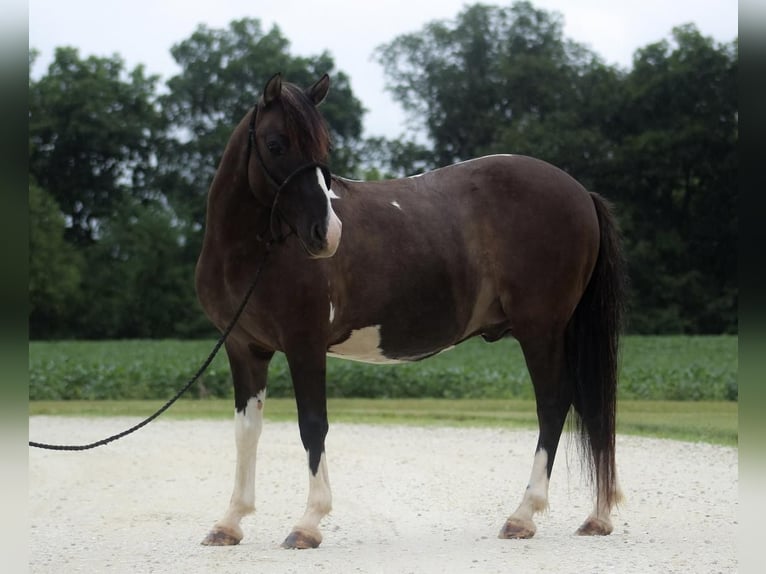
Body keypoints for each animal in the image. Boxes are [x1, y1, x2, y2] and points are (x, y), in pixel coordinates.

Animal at [195, 74, 628, 552]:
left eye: (323, 146)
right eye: (275, 144)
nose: (327, 234)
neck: (252, 254)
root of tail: (579, 192)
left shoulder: (304, 344)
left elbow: (312, 425)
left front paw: (308, 522)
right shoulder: (244, 348)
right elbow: (246, 431)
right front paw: (230, 522)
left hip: (541, 329)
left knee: (553, 404)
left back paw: (523, 515)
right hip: (562, 331)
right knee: (588, 405)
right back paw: (597, 516)